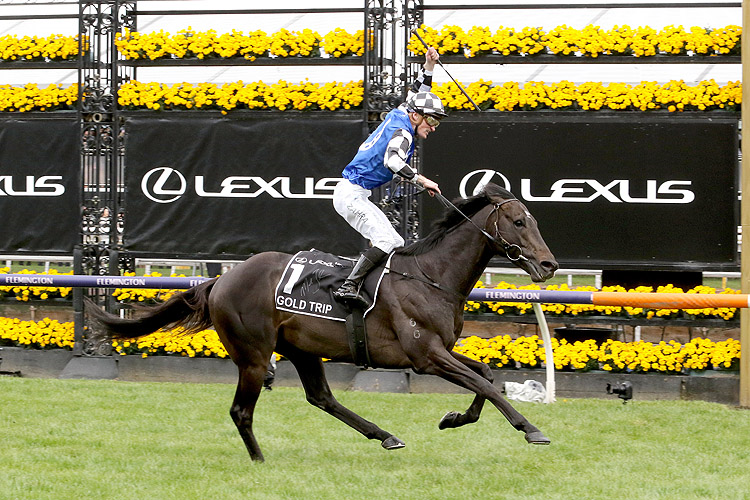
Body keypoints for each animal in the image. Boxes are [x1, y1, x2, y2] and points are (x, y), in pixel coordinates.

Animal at [88, 184, 560, 460]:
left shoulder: (440, 350)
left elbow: (486, 375)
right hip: (254, 356)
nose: (549, 265)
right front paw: (532, 429)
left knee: (322, 398)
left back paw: (384, 435)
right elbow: (484, 382)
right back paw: (259, 460)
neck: (430, 275)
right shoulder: (425, 355)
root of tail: (221, 279)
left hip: (302, 350)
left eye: (535, 220)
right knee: (242, 410)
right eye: (519, 221)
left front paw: (454, 418)